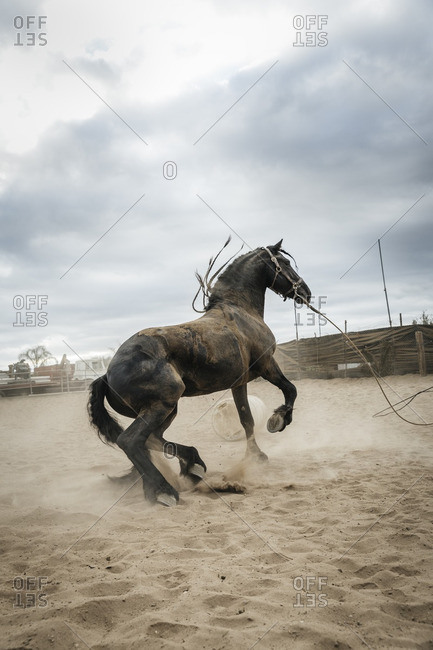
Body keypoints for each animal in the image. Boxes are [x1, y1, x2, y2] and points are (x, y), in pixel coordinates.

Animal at [88, 240, 311, 506]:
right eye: (285, 263)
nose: (306, 293)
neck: (241, 311)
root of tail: (107, 375)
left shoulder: (239, 383)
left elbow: (246, 419)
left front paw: (257, 456)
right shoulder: (267, 364)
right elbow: (290, 389)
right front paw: (278, 420)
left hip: (167, 409)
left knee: (151, 440)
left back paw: (189, 466)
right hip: (163, 404)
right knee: (131, 441)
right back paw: (164, 489)